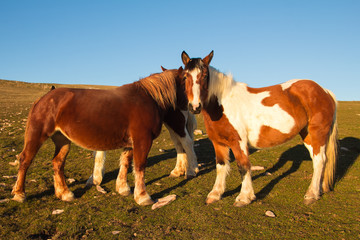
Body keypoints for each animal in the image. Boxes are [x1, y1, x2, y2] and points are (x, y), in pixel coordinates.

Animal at [11, 66, 194, 205]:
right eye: (186, 78)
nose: (193, 106)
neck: (149, 99)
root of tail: (43, 99)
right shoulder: (143, 140)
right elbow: (140, 166)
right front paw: (143, 196)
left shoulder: (131, 143)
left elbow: (125, 163)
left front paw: (123, 188)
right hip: (37, 136)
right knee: (25, 160)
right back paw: (19, 194)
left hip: (62, 140)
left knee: (58, 163)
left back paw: (65, 193)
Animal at [181, 51, 338, 207]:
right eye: (185, 76)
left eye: (204, 76)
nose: (195, 107)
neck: (222, 104)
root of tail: (324, 91)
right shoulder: (218, 142)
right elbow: (221, 166)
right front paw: (215, 194)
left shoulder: (238, 142)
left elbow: (243, 166)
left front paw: (244, 197)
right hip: (307, 135)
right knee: (317, 160)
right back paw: (317, 191)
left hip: (318, 133)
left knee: (320, 160)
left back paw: (311, 194)